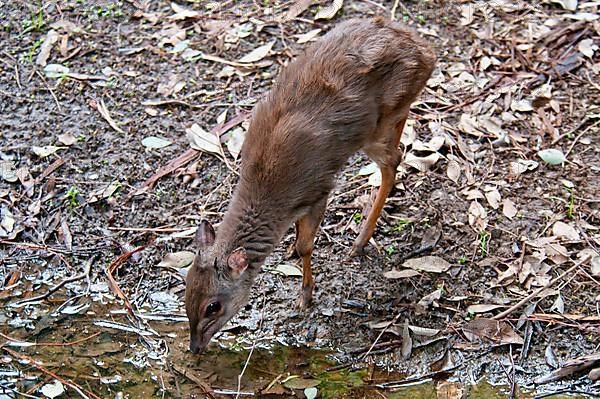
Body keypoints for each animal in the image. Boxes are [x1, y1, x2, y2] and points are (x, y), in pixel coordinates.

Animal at [185, 17, 434, 354]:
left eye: (213, 306)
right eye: (186, 292)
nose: (194, 347)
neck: (267, 186)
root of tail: (426, 52)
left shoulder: (318, 190)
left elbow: (307, 245)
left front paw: (305, 296)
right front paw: (290, 249)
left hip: (376, 127)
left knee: (392, 161)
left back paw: (359, 242)